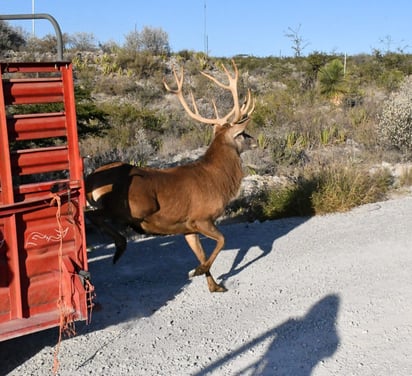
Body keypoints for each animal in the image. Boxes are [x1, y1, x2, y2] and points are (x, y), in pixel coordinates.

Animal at [84, 60, 254, 292]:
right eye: (242, 134)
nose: (254, 140)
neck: (218, 181)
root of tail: (90, 179)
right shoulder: (202, 217)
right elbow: (222, 241)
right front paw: (197, 271)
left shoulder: (187, 227)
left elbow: (201, 254)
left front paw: (215, 286)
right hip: (133, 206)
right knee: (93, 215)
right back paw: (120, 246)